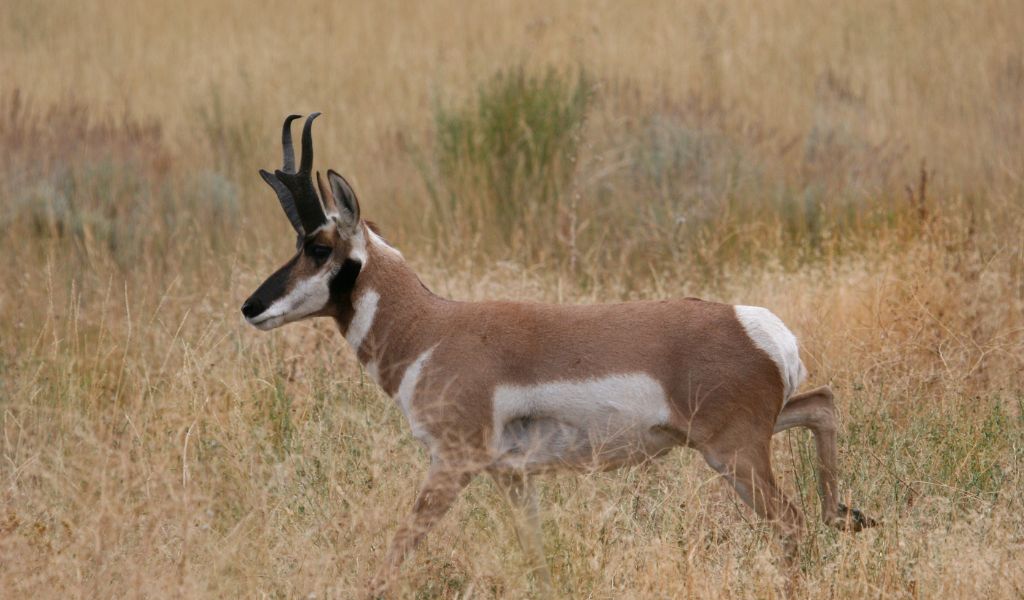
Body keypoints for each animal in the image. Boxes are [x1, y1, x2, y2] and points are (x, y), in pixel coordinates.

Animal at [241, 113, 876, 595]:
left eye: (317, 246)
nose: (250, 307)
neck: (430, 328)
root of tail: (760, 327)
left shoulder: (451, 464)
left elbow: (399, 548)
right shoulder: (513, 478)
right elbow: (536, 557)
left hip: (734, 453)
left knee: (791, 523)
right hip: (748, 434)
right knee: (823, 405)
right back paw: (847, 514)